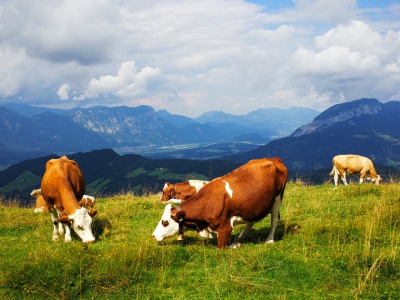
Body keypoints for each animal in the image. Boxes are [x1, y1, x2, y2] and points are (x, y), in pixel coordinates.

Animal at [152, 157, 288, 248]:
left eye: (165, 222)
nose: (153, 235)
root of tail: (274, 159)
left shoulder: (225, 228)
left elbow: (223, 247)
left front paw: (235, 245)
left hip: (277, 199)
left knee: (274, 220)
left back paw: (269, 240)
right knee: (252, 220)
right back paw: (241, 236)